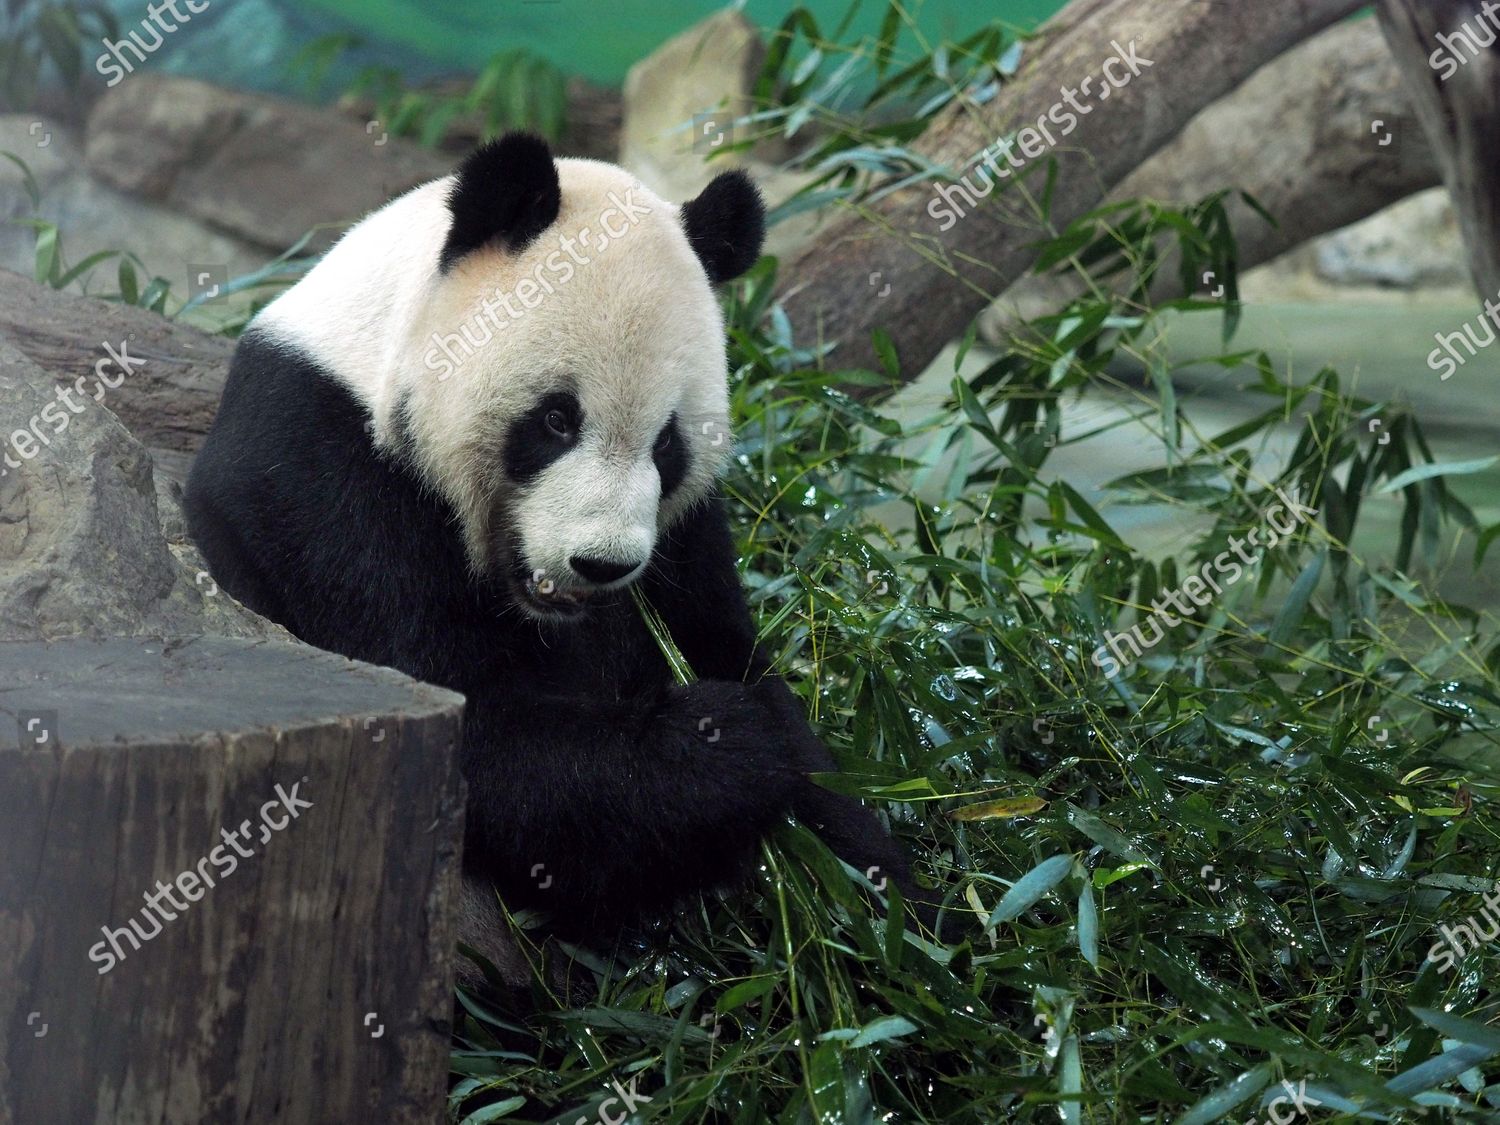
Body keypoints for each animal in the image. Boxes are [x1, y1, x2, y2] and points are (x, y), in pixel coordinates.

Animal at [181, 132, 918, 960]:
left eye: (668, 443)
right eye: (558, 419)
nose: (602, 563)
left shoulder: (684, 535)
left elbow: (742, 670)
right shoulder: (320, 477)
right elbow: (468, 732)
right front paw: (728, 737)